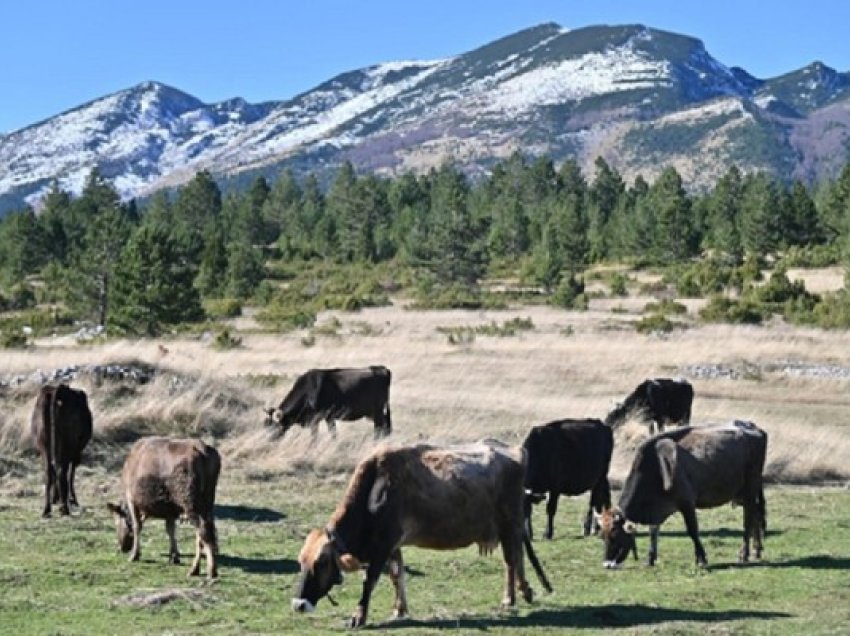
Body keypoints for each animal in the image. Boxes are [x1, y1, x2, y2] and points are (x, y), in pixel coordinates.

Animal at [30, 382, 93, 516]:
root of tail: (58, 389)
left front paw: (56, 498)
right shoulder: (76, 452)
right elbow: (71, 472)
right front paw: (72, 499)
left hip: (44, 445)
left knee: (49, 471)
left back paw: (47, 509)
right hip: (68, 445)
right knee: (61, 470)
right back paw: (64, 507)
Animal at [106, 438, 220, 580]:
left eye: (116, 522)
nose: (121, 548)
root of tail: (203, 449)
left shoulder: (132, 499)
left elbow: (137, 527)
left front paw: (134, 555)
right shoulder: (170, 509)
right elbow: (171, 530)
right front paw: (174, 556)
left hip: (190, 500)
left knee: (203, 531)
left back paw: (208, 570)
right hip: (208, 500)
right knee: (203, 532)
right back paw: (197, 569)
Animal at [262, 368, 390, 438]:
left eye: (273, 428)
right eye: (265, 426)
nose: (267, 441)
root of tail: (381, 369)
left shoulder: (318, 419)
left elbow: (318, 436)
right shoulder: (328, 418)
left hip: (377, 410)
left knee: (379, 427)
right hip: (373, 412)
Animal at [292, 440, 552, 628]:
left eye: (322, 562)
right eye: (301, 561)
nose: (298, 604)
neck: (375, 491)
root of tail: (513, 449)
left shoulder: (383, 546)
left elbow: (370, 581)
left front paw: (359, 616)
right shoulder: (393, 546)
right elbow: (396, 575)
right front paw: (399, 609)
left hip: (510, 522)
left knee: (512, 559)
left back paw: (512, 596)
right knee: (515, 557)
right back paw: (521, 592)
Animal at [596, 422, 768, 568]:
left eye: (615, 535)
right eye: (602, 536)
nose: (607, 564)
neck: (656, 465)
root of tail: (755, 429)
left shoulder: (687, 503)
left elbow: (692, 531)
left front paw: (701, 558)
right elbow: (653, 531)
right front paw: (651, 558)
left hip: (750, 488)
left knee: (748, 519)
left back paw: (744, 553)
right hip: (741, 494)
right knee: (756, 514)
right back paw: (757, 550)